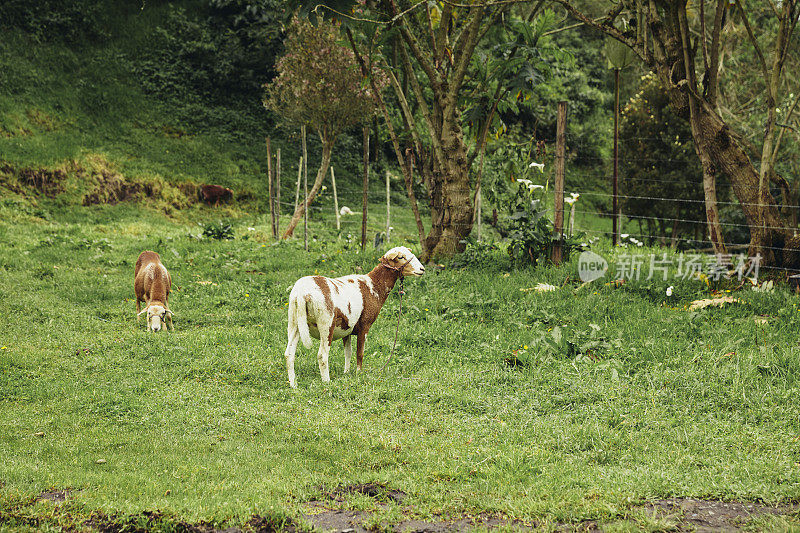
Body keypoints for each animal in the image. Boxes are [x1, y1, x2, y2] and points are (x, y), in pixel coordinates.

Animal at [286, 245, 424, 386]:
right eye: (401, 257)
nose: (422, 269)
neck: (374, 285)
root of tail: (302, 294)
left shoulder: (346, 329)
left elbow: (348, 352)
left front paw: (346, 373)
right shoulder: (364, 325)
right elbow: (359, 353)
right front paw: (359, 373)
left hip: (294, 321)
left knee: (289, 354)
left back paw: (293, 384)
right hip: (326, 324)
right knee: (322, 355)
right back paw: (327, 382)